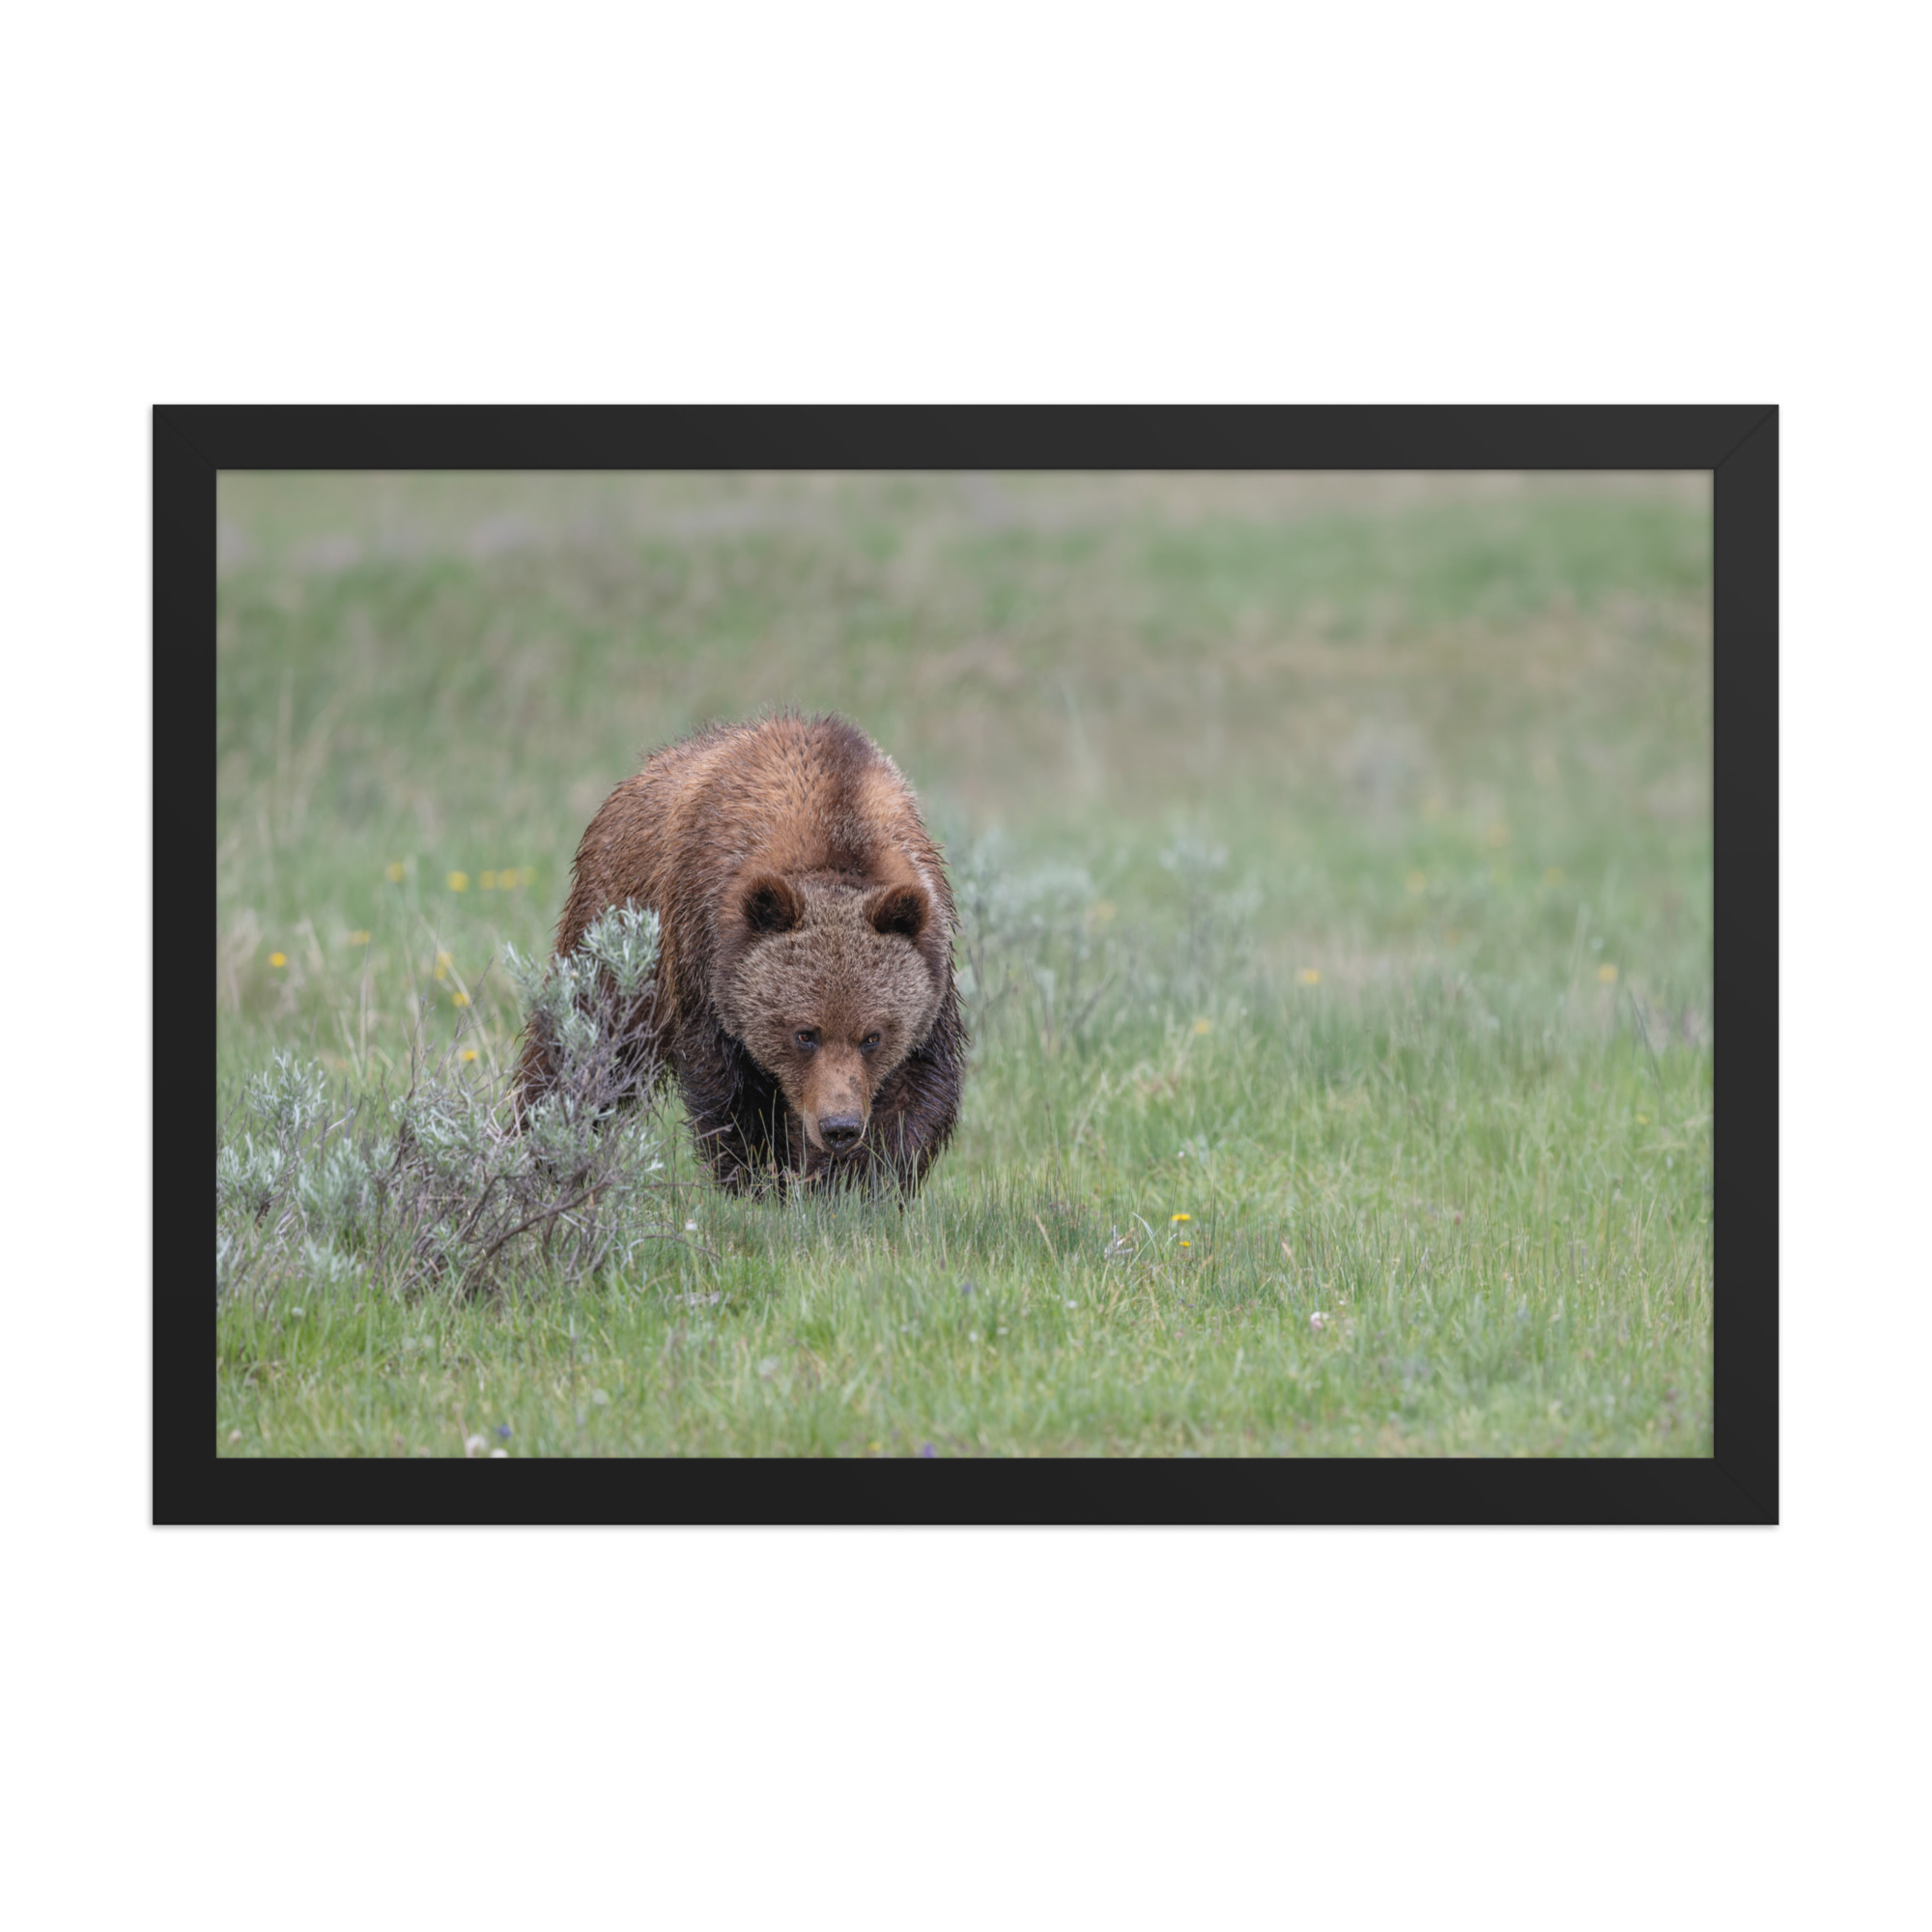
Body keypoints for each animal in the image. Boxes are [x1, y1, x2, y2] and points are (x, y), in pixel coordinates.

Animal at [514, 712, 967, 1196]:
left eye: (873, 1036)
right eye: (804, 1033)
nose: (839, 1126)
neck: (836, 830)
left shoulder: (931, 966)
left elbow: (917, 1089)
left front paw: (855, 1184)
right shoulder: (705, 955)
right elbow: (730, 1092)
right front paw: (759, 1180)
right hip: (617, 931)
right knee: (582, 1043)